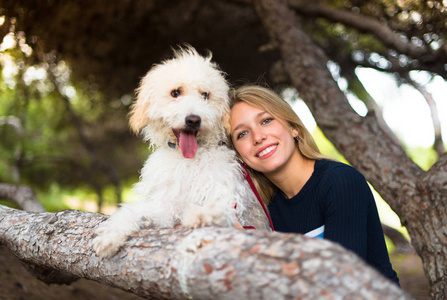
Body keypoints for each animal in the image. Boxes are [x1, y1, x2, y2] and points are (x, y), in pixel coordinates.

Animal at [93, 45, 272, 256]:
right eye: (175, 92)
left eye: (205, 95)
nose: (193, 120)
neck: (189, 160)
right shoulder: (165, 207)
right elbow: (135, 211)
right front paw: (111, 235)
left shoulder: (228, 198)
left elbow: (220, 207)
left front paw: (203, 215)